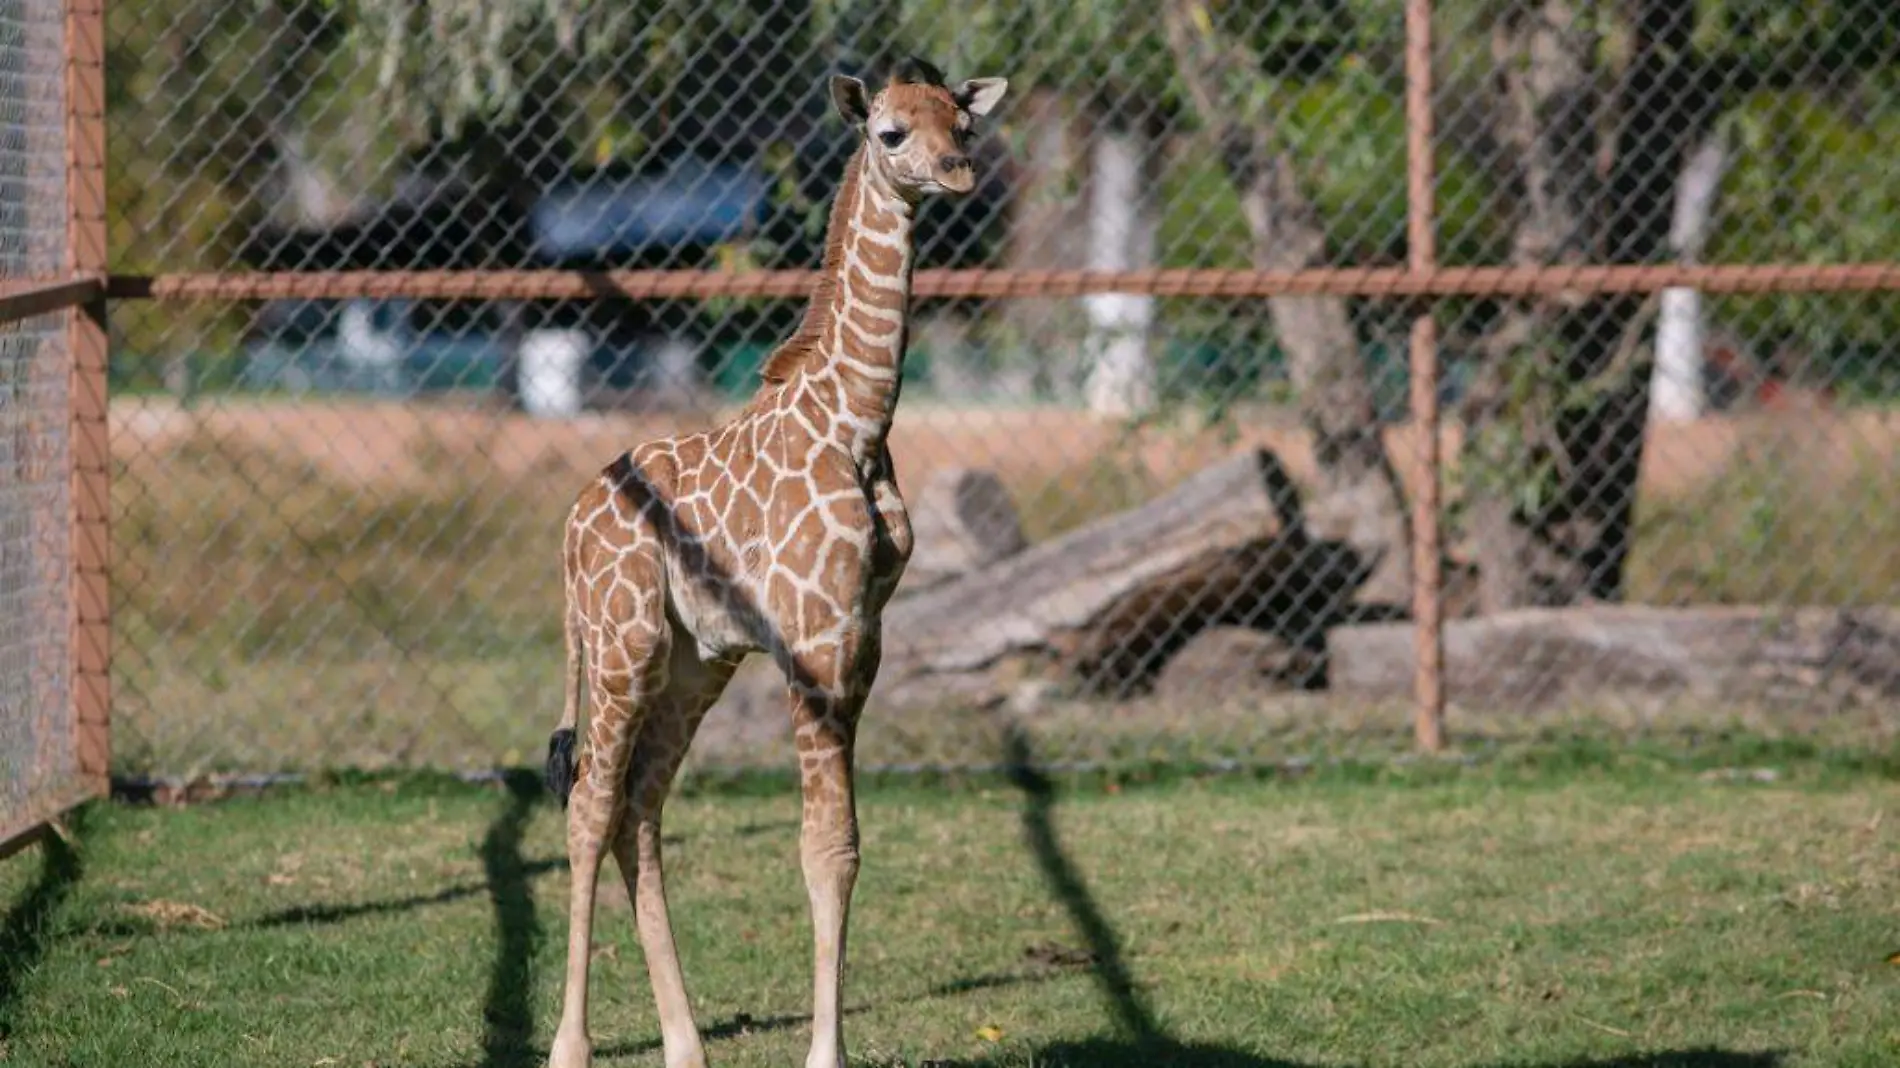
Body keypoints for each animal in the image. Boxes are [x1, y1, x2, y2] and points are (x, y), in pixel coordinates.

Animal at [539, 58, 1010, 1064]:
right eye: (890, 133)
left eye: (965, 125)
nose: (957, 173)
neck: (859, 422)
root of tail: (569, 526)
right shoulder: (815, 638)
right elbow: (822, 847)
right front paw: (824, 1052)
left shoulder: (862, 639)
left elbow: (847, 846)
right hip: (622, 642)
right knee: (590, 804)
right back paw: (571, 1047)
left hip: (695, 657)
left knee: (641, 807)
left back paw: (686, 1044)